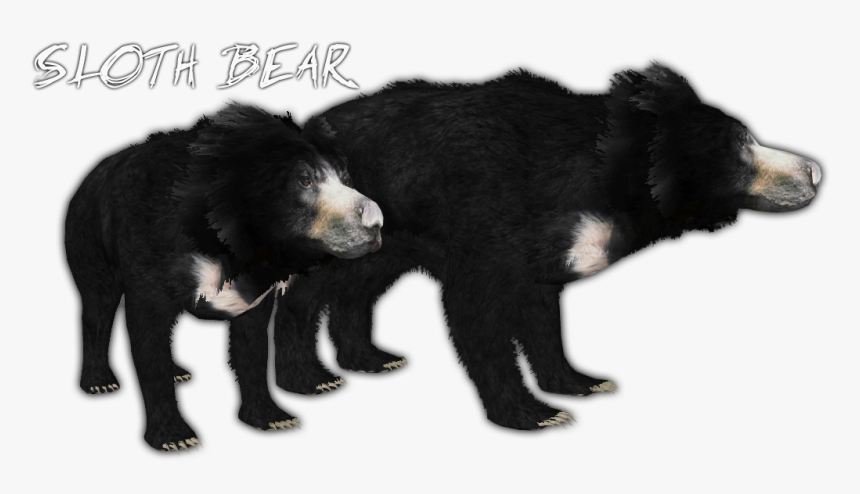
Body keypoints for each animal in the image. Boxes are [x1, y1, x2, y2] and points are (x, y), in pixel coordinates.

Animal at [64, 103, 383, 451]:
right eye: (304, 180)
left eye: (346, 179)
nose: (376, 222)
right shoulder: (150, 256)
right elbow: (148, 337)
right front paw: (175, 438)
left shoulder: (256, 290)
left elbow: (252, 343)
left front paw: (273, 418)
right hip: (88, 239)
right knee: (98, 306)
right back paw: (100, 383)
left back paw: (177, 372)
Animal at [270, 64, 821, 430]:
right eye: (741, 144)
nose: (814, 172)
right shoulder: (490, 227)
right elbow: (478, 315)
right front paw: (533, 414)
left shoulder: (548, 249)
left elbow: (542, 317)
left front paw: (582, 383)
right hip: (338, 220)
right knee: (309, 290)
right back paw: (311, 379)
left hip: (385, 240)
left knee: (358, 287)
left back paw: (371, 359)